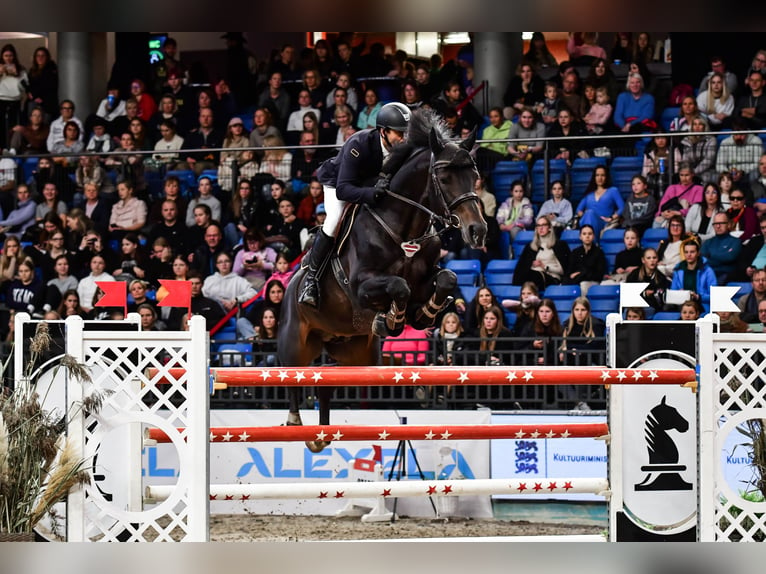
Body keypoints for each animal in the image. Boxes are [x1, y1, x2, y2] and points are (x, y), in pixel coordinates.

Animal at [280, 109, 488, 450]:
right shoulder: (362, 287)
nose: (477, 231)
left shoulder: (427, 279)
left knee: (325, 374)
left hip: (357, 353)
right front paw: (391, 318)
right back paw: (297, 424)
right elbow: (397, 285)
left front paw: (422, 314)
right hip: (295, 340)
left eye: (475, 176)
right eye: (444, 178)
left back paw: (320, 434)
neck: (403, 228)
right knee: (292, 374)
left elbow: (446, 278)